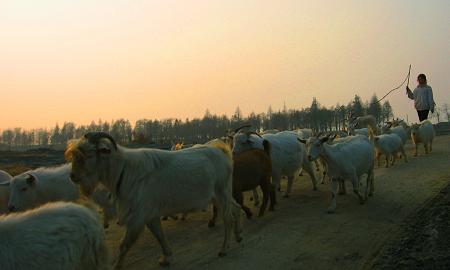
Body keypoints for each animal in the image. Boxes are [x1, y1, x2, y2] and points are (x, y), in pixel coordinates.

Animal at [64, 132, 241, 266]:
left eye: (89, 154)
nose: (73, 176)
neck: (124, 170)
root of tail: (222, 150)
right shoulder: (150, 214)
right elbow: (159, 235)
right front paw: (166, 257)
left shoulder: (137, 217)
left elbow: (124, 245)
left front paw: (117, 266)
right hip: (220, 195)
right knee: (236, 208)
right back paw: (239, 236)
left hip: (221, 192)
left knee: (228, 218)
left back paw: (224, 249)